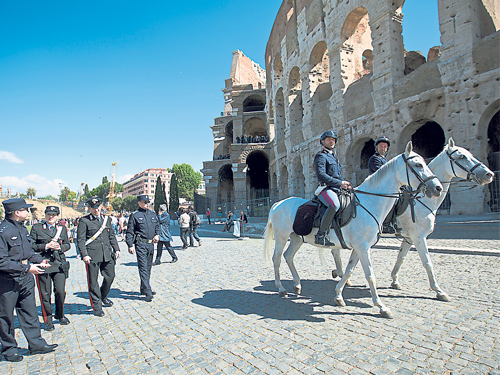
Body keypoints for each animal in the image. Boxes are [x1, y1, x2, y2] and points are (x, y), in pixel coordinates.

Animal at [264, 142, 444, 318]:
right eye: (418, 164)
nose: (438, 188)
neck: (369, 202)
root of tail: (278, 203)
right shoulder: (366, 247)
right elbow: (370, 276)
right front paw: (381, 306)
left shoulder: (360, 247)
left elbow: (349, 270)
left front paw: (338, 295)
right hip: (281, 238)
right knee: (276, 259)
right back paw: (281, 288)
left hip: (297, 238)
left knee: (288, 256)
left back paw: (297, 285)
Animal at [330, 139, 494, 302]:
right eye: (462, 157)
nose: (489, 174)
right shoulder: (418, 235)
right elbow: (427, 262)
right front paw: (438, 291)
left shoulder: (409, 237)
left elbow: (401, 257)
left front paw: (395, 280)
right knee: (336, 250)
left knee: (336, 250)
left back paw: (342, 277)